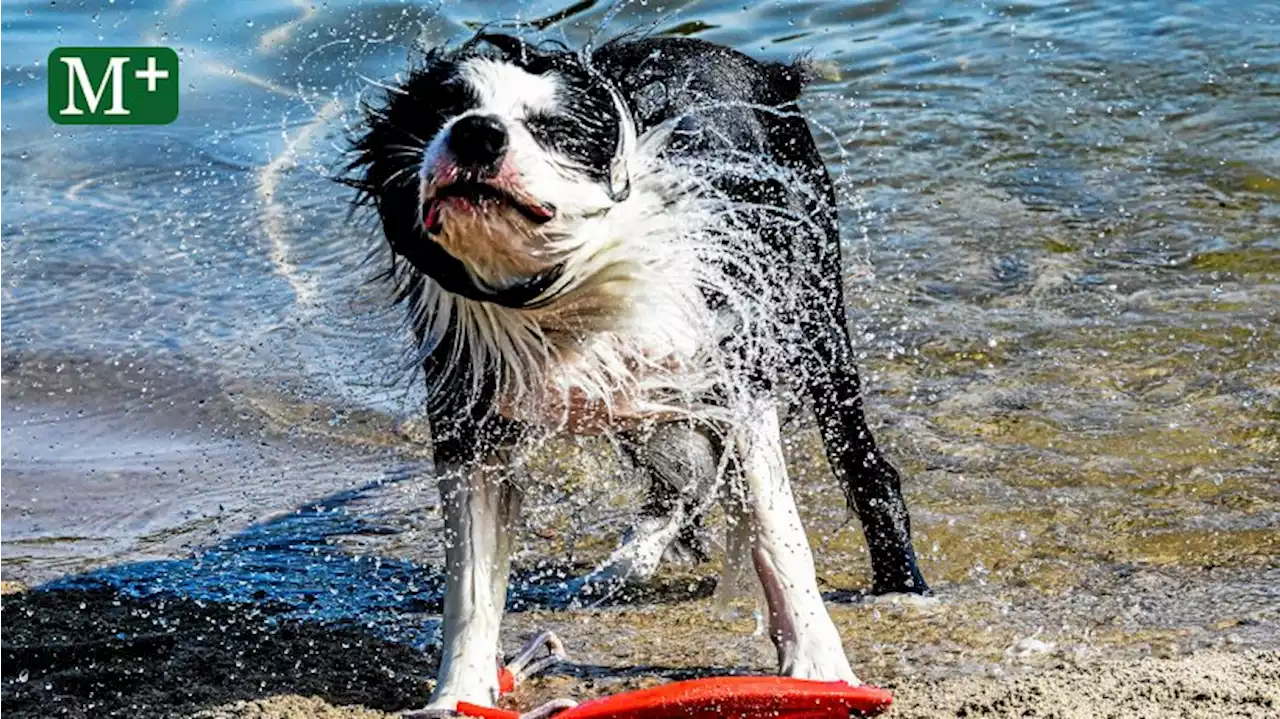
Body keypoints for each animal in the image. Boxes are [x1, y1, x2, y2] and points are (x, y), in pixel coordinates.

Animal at [355, 32, 926, 711]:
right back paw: (626, 563)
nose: (477, 133)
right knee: (677, 480)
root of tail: (763, 69)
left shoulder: (734, 375)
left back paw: (903, 587)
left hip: (814, 315)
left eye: (554, 128)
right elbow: (469, 583)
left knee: (867, 470)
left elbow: (778, 532)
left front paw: (819, 667)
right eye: (446, 108)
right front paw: (457, 698)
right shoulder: (472, 425)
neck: (562, 294)